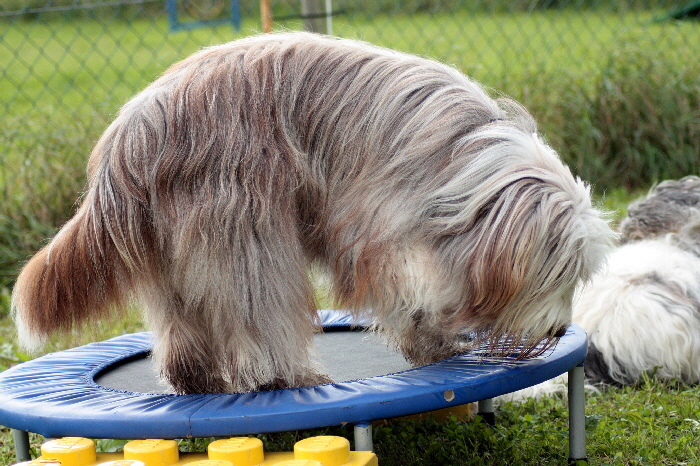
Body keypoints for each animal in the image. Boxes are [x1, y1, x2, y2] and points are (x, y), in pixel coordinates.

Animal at [9, 31, 612, 394]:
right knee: (258, 306)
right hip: (243, 221)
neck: (468, 168)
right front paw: (431, 333)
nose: (559, 328)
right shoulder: (375, 226)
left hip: (165, 249)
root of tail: (130, 135)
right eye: (555, 275)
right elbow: (407, 287)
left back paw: (200, 382)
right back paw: (289, 376)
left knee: (181, 319)